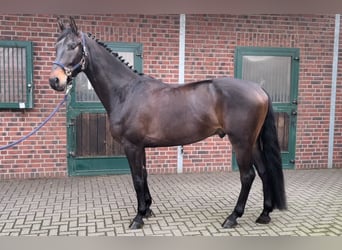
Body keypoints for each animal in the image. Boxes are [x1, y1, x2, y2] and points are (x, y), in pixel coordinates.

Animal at [49, 16, 288, 229]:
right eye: (56, 46)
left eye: (73, 46)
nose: (55, 80)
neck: (126, 92)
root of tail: (259, 89)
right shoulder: (140, 146)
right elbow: (144, 174)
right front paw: (147, 209)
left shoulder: (131, 145)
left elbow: (137, 179)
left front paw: (138, 218)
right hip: (253, 142)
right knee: (264, 172)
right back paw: (264, 214)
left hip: (241, 142)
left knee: (248, 176)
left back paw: (232, 217)